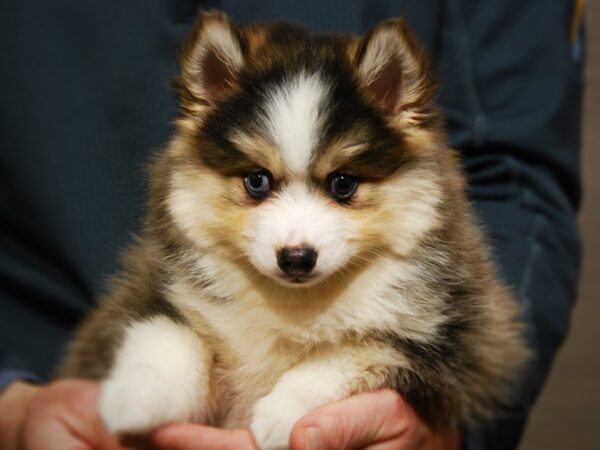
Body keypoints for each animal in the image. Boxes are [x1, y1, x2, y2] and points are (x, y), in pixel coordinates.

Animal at [57, 10, 528, 450]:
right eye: (256, 180)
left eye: (343, 183)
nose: (296, 258)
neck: (292, 305)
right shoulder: (150, 285)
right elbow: (168, 332)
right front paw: (134, 396)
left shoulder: (467, 338)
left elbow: (360, 350)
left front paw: (283, 413)